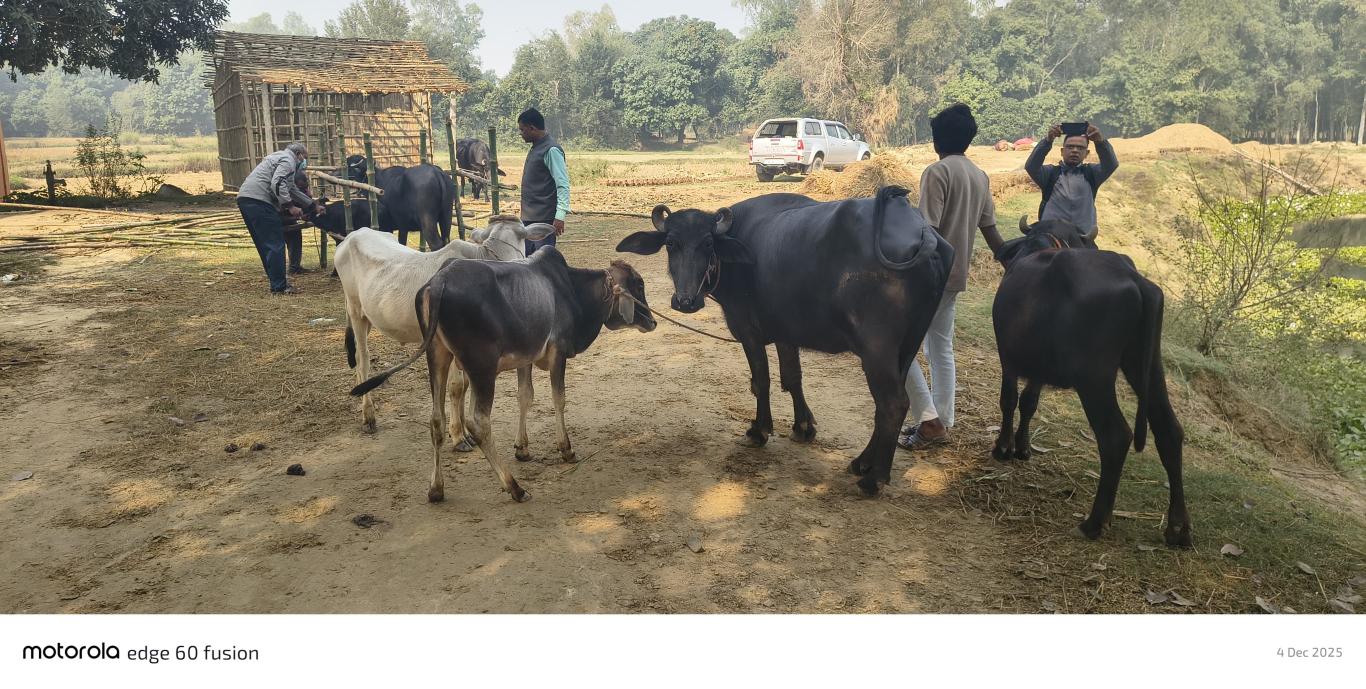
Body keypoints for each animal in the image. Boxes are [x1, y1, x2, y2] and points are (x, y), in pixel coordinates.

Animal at [335, 216, 554, 436]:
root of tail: (352, 236)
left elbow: (465, 385)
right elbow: (457, 386)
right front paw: (457, 435)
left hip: (368, 317)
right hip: (355, 310)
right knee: (362, 358)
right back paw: (368, 416)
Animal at [351, 249, 657, 503]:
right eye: (639, 285)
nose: (653, 321)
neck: (570, 290)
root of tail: (438, 283)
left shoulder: (525, 358)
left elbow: (525, 397)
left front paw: (522, 448)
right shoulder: (558, 353)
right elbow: (559, 400)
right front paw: (566, 449)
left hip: (437, 356)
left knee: (436, 420)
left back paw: (436, 489)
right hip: (482, 368)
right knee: (478, 422)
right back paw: (514, 487)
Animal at [616, 186, 953, 496]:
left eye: (708, 243)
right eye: (671, 243)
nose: (685, 301)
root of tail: (924, 234)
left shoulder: (749, 332)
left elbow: (761, 381)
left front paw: (759, 430)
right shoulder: (785, 333)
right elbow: (792, 377)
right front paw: (803, 427)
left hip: (877, 350)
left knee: (893, 403)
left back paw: (874, 478)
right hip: (909, 345)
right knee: (885, 406)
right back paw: (862, 462)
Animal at [991, 215, 1191, 547]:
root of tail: (1135, 280)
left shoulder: (1009, 356)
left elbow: (1009, 400)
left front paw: (1003, 448)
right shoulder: (1038, 369)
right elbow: (1029, 402)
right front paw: (1023, 448)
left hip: (1094, 378)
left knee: (1115, 436)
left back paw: (1094, 522)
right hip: (1147, 366)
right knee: (1169, 430)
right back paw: (1178, 528)